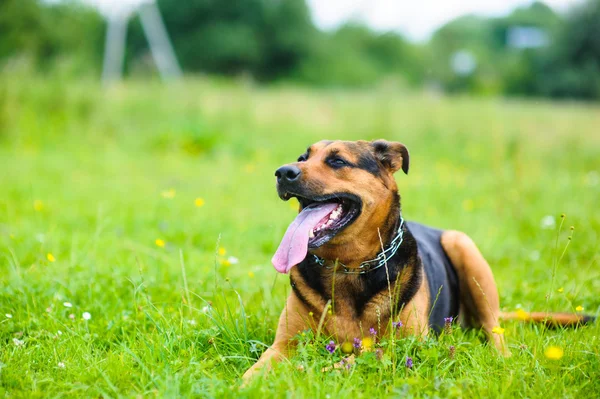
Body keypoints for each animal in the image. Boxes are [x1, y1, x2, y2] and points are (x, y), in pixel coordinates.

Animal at [241, 141, 592, 382]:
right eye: (303, 158)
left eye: (337, 161)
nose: (283, 172)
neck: (348, 266)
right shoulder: (283, 344)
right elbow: (255, 371)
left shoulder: (407, 348)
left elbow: (347, 360)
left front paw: (310, 371)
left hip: (463, 247)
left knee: (495, 330)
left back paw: (499, 357)